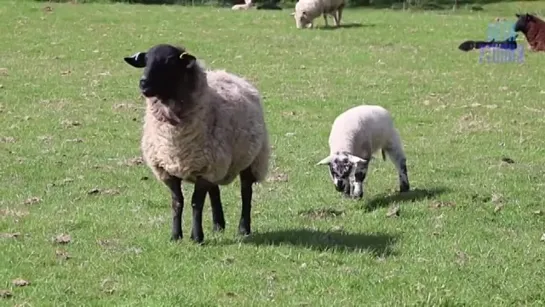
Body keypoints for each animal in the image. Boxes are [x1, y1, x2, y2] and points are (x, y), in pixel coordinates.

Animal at [122, 44, 268, 245]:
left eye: (170, 61)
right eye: (146, 60)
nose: (144, 83)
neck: (174, 138)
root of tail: (226, 74)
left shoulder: (205, 169)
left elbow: (195, 203)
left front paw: (197, 237)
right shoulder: (168, 169)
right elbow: (177, 202)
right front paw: (175, 236)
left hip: (251, 159)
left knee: (246, 192)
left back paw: (243, 228)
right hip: (215, 163)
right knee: (215, 191)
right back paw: (218, 225)